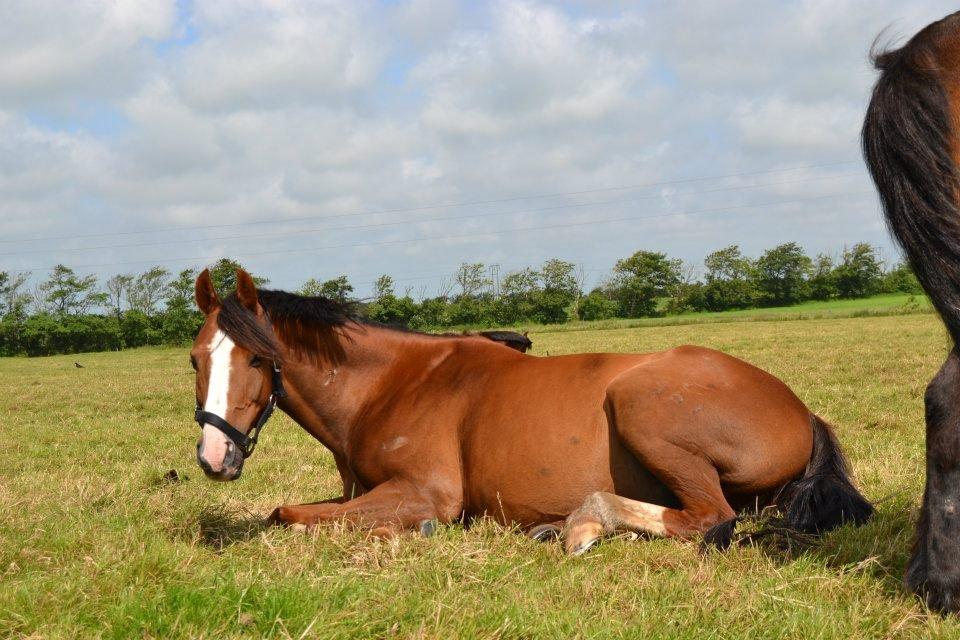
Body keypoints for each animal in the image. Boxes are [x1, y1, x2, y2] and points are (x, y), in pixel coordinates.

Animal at [191, 270, 872, 556]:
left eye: (258, 359)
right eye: (196, 357)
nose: (214, 457)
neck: (391, 385)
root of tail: (801, 411)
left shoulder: (424, 493)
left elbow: (288, 515)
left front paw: (398, 534)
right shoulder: (362, 490)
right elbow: (299, 511)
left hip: (641, 407)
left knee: (709, 519)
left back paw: (585, 524)